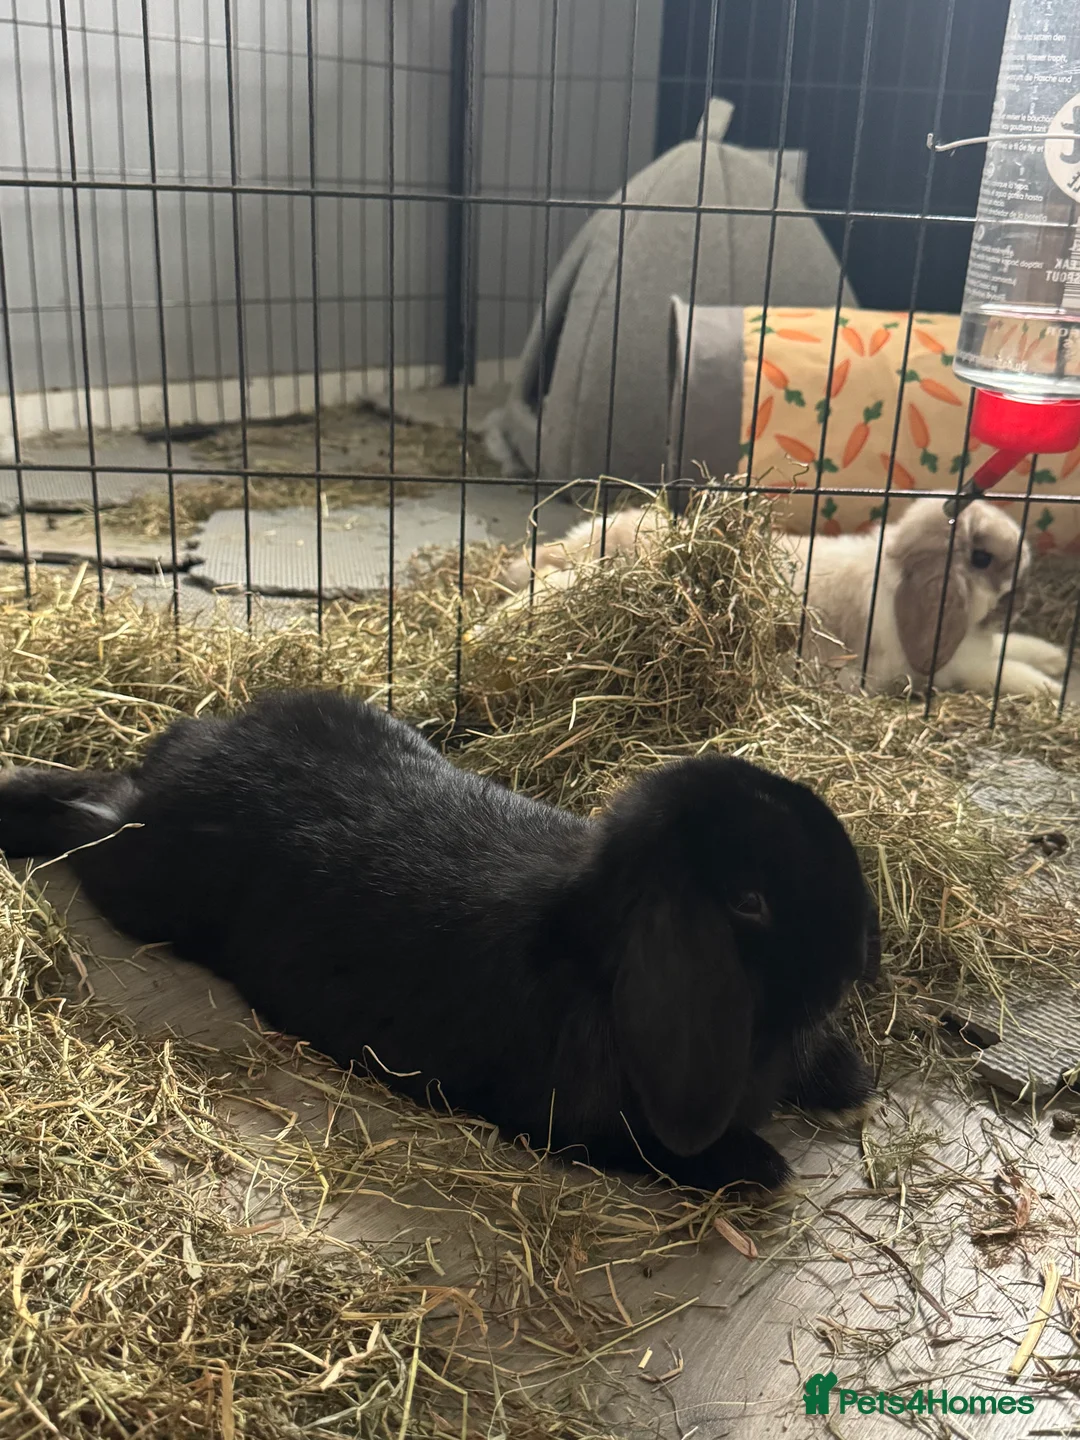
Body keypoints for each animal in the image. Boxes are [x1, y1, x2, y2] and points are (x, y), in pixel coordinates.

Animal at [0, 690, 880, 1195]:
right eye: (750, 901)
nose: (862, 956)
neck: (589, 952)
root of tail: (184, 750)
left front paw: (848, 1077)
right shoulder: (579, 1128)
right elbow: (666, 1153)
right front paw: (758, 1165)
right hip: (144, 884)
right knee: (96, 817)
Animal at [499, 499, 1068, 698]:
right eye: (982, 558)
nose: (1023, 586)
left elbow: (1010, 645)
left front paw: (1056, 657)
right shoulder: (947, 664)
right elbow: (994, 665)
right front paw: (1048, 687)